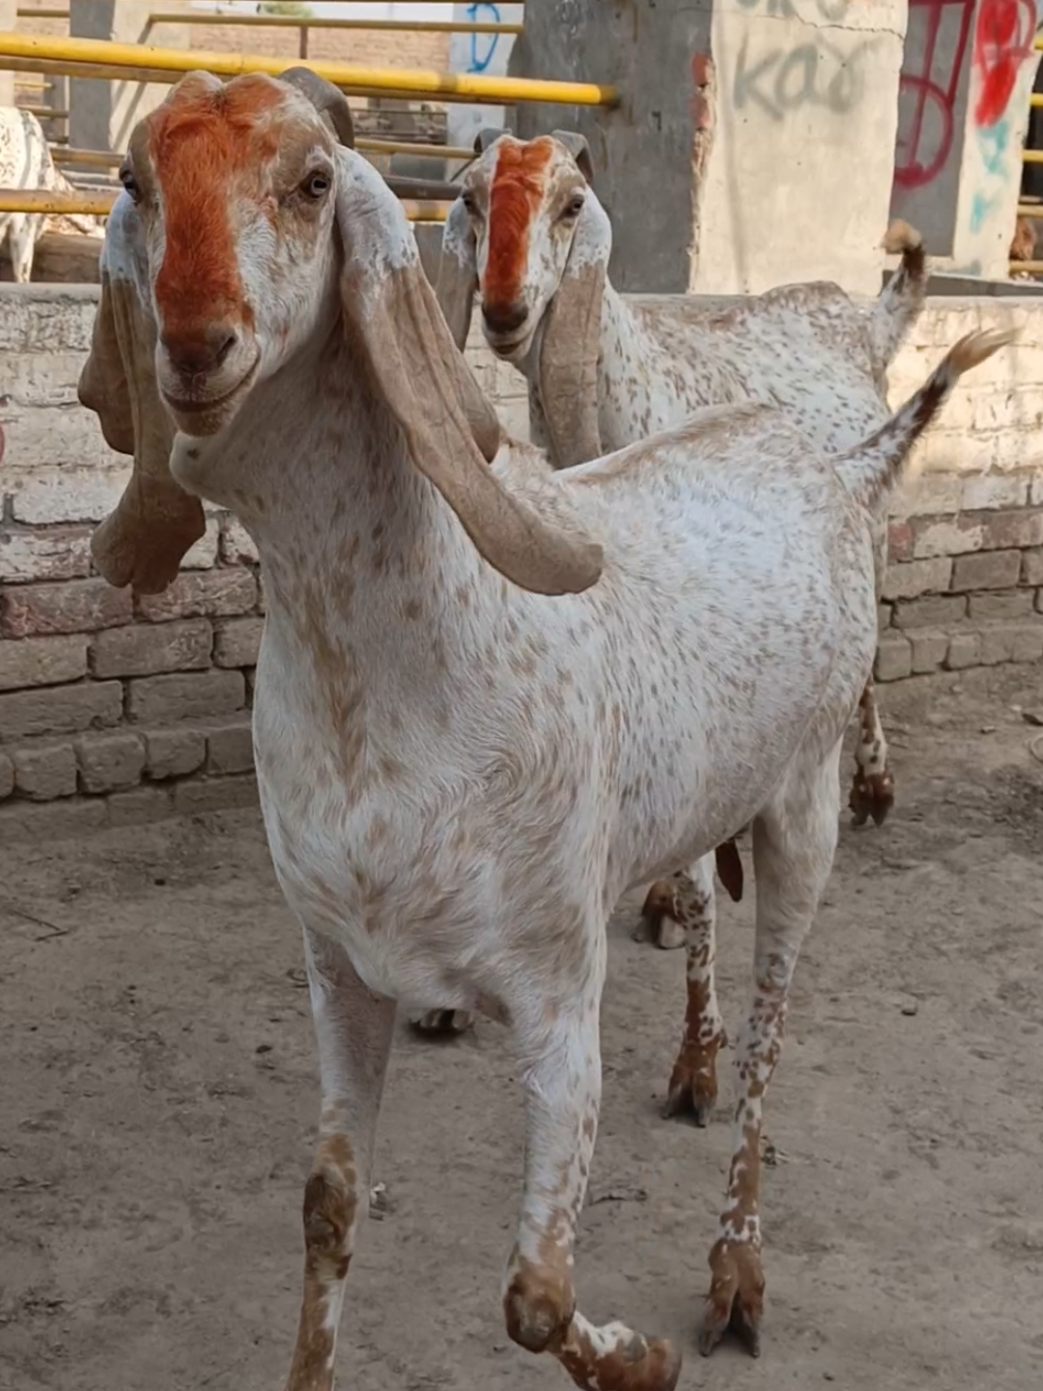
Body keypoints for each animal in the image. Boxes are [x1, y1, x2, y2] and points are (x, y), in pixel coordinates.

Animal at [78, 67, 1009, 1388]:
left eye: (311, 182)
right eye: (136, 178)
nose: (198, 344)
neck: (402, 675)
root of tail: (828, 459)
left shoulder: (561, 992)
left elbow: (533, 1292)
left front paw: (643, 1356)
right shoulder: (339, 967)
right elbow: (325, 1201)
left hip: (801, 811)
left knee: (775, 1023)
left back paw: (735, 1271)